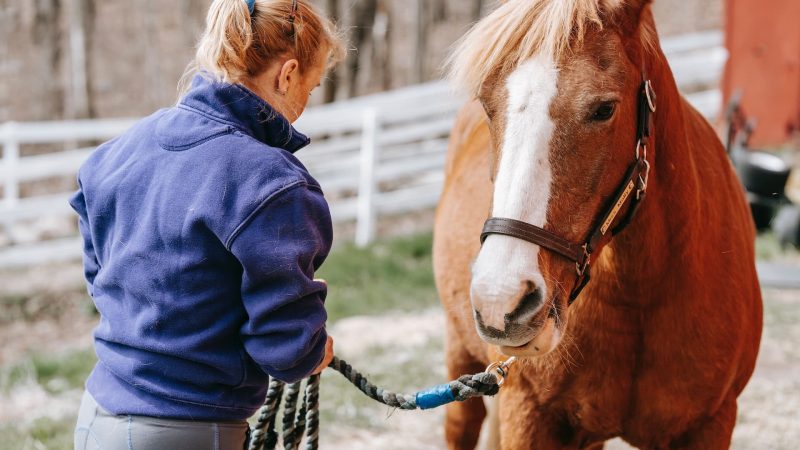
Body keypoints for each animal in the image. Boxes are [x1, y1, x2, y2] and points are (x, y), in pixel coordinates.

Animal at [432, 1, 763, 448]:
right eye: (487, 105)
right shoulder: (528, 415)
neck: (641, 295)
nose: (500, 300)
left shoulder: (710, 424)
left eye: (604, 109)